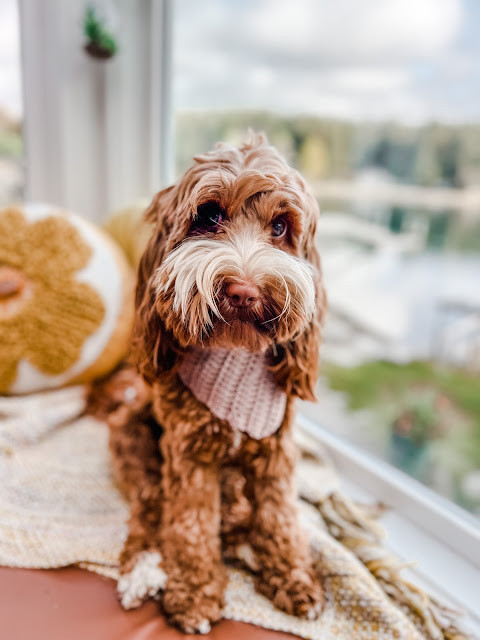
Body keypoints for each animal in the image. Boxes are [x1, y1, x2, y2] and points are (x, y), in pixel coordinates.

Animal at [108, 132, 326, 632]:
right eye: (209, 216)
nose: (244, 291)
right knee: (149, 511)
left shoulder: (276, 452)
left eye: (281, 227)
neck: (234, 357)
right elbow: (190, 525)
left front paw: (293, 576)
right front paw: (194, 593)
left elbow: (280, 517)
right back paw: (144, 568)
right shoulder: (189, 454)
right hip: (133, 438)